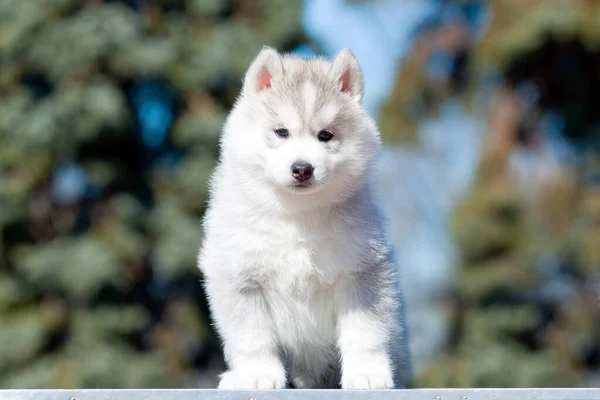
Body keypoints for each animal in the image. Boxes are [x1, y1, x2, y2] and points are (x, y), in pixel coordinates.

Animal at [199, 46, 410, 388]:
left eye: (325, 135)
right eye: (281, 132)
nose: (302, 168)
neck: (297, 215)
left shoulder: (361, 271)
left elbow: (364, 332)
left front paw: (367, 373)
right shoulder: (240, 277)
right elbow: (253, 337)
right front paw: (258, 374)